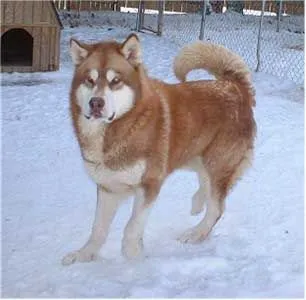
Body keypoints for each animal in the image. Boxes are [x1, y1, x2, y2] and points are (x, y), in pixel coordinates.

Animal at [62, 34, 256, 266]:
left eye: (115, 81)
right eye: (89, 80)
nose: (96, 103)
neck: (118, 128)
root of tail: (234, 85)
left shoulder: (149, 184)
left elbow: (131, 228)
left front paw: (135, 258)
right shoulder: (108, 187)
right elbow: (98, 229)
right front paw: (85, 254)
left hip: (218, 161)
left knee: (217, 207)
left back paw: (196, 233)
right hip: (195, 154)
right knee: (206, 183)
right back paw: (198, 203)